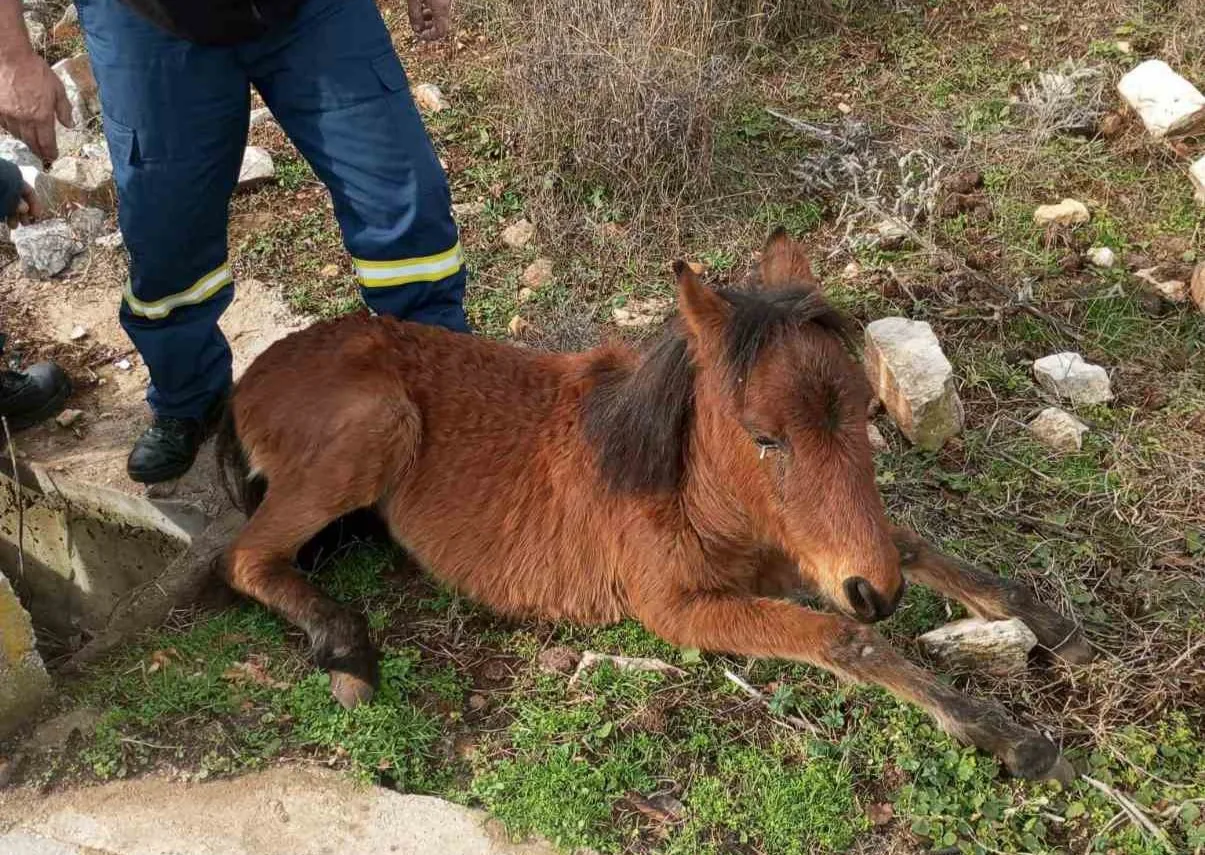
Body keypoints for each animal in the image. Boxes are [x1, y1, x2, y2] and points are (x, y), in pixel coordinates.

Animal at [216, 227, 1094, 785]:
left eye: (865, 412)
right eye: (764, 436)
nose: (875, 592)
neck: (683, 486)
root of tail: (253, 373)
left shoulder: (798, 552)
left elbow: (910, 543)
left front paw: (1046, 622)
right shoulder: (678, 608)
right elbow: (844, 639)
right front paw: (1004, 735)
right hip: (378, 426)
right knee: (243, 557)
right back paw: (345, 647)